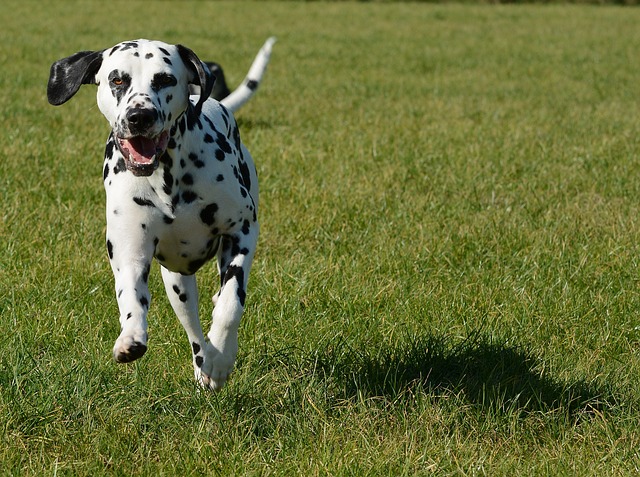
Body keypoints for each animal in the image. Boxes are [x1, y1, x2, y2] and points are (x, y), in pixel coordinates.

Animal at [47, 39, 272, 390]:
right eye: (117, 80)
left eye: (165, 79)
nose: (140, 115)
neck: (168, 177)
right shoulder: (129, 250)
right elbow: (130, 295)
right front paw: (131, 335)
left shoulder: (242, 231)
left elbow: (231, 303)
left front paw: (222, 357)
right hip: (177, 283)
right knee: (193, 328)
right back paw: (202, 362)